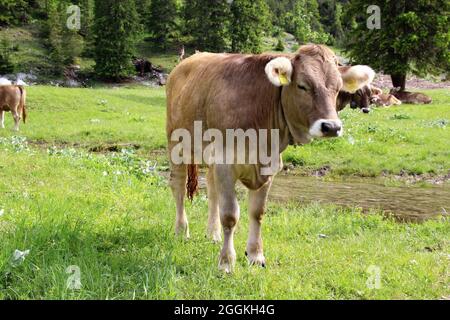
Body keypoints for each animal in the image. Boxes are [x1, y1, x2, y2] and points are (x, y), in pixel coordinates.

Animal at [167, 43, 374, 272]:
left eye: (337, 88)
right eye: (302, 86)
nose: (331, 127)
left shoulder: (267, 166)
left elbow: (257, 212)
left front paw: (255, 256)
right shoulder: (226, 163)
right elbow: (230, 215)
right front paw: (226, 262)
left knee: (212, 192)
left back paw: (213, 234)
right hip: (176, 144)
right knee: (178, 187)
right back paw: (181, 231)